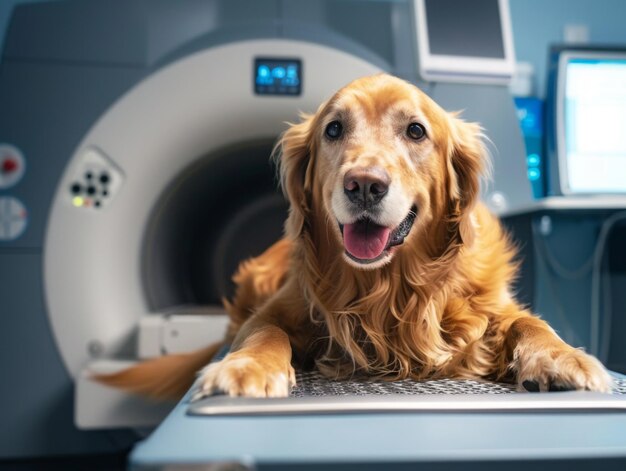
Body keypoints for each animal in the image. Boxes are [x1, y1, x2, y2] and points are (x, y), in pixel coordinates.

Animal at [97, 75, 608, 400]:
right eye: (334, 129)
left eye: (416, 130)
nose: (364, 184)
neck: (386, 289)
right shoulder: (275, 310)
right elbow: (264, 333)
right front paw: (245, 367)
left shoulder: (492, 307)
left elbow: (531, 324)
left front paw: (563, 358)